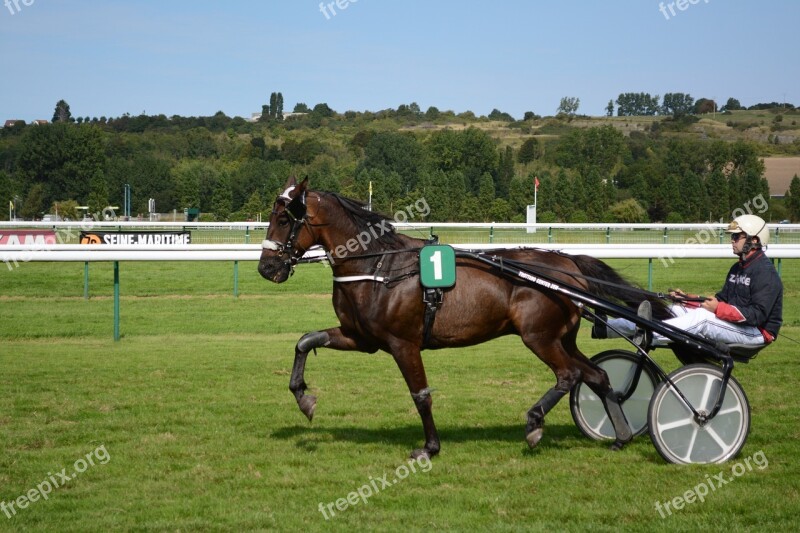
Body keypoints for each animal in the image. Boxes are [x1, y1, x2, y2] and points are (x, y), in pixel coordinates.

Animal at [258, 177, 668, 460]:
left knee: (568, 375)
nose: (266, 268)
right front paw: (304, 398)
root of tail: (569, 265)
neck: (378, 267)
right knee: (596, 375)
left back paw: (535, 423)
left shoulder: (402, 344)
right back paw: (620, 437)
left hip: (538, 336)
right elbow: (305, 341)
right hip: (561, 337)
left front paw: (430, 447)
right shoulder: (361, 337)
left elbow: (421, 395)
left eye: (284, 218)